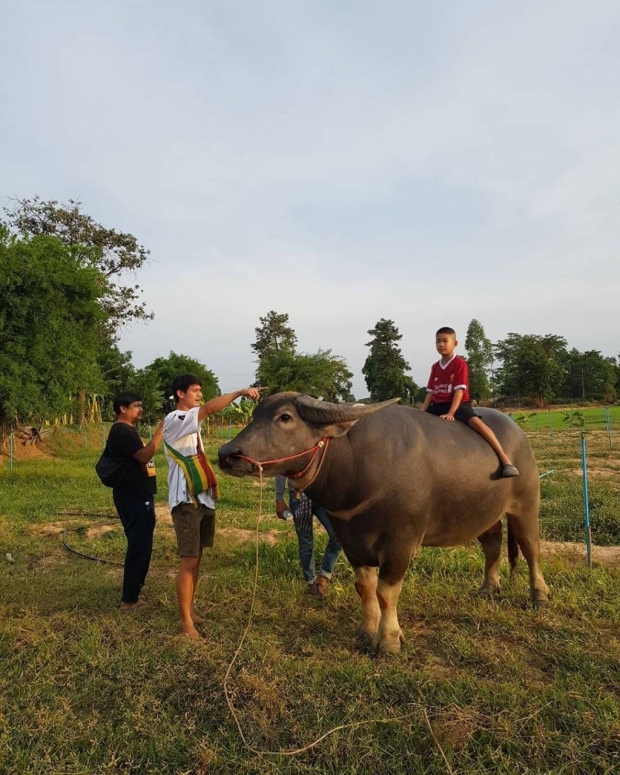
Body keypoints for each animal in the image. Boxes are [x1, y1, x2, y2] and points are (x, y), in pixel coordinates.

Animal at [217, 394, 548, 656]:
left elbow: (387, 592)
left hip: (526, 503)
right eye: (254, 415)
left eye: (285, 417)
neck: (354, 464)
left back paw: (539, 596)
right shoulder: (351, 540)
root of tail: (517, 432)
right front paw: (366, 632)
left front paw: (388, 641)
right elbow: (365, 588)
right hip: (483, 512)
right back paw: (488, 589)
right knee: (492, 542)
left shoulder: (400, 543)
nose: (226, 454)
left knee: (530, 547)